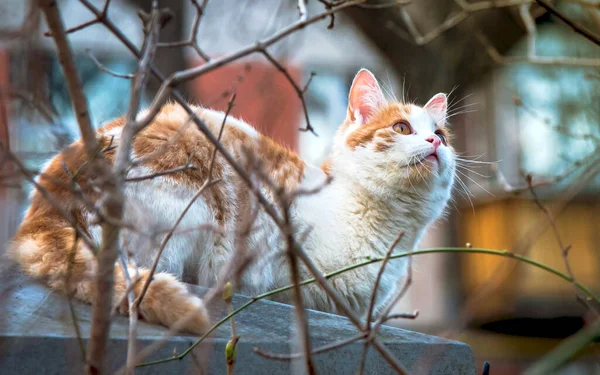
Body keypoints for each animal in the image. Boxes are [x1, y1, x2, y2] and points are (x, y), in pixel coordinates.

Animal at [7, 68, 454, 334]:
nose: (434, 143)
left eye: (442, 135)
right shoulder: (292, 275)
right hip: (193, 210)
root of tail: (45, 207)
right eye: (402, 128)